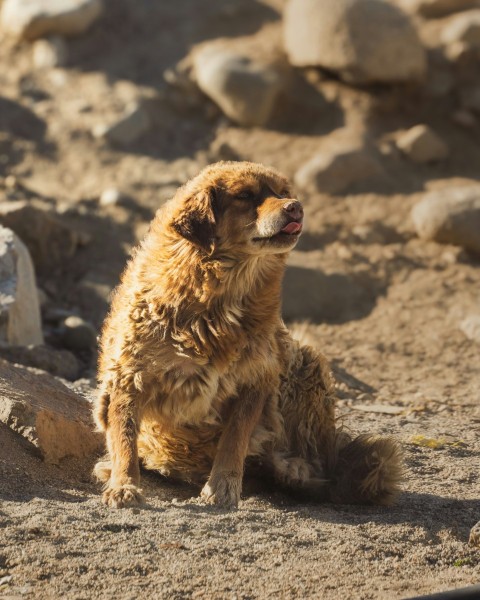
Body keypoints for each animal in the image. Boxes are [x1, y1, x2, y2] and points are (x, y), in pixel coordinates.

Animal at [93, 162, 402, 508]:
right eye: (244, 195)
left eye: (283, 193)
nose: (295, 207)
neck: (218, 294)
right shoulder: (128, 377)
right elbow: (124, 438)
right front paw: (124, 484)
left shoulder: (255, 379)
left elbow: (234, 440)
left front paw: (222, 488)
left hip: (305, 363)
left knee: (320, 464)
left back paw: (294, 468)